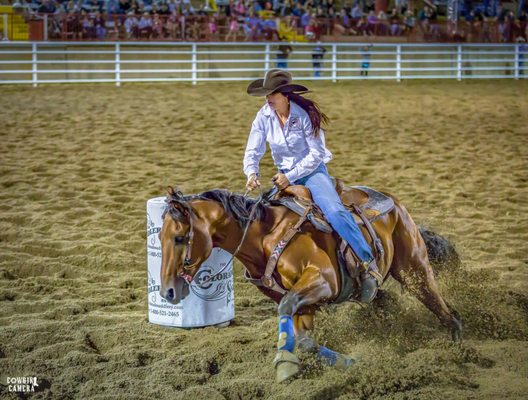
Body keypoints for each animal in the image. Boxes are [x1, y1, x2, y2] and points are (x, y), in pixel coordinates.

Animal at [158, 183, 462, 382]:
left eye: (180, 238)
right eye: (158, 237)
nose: (168, 292)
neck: (266, 236)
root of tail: (393, 201)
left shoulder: (322, 282)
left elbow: (286, 309)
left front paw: (283, 364)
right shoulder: (304, 304)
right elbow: (304, 340)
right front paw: (349, 362)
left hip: (414, 269)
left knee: (445, 311)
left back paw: (457, 349)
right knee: (389, 301)